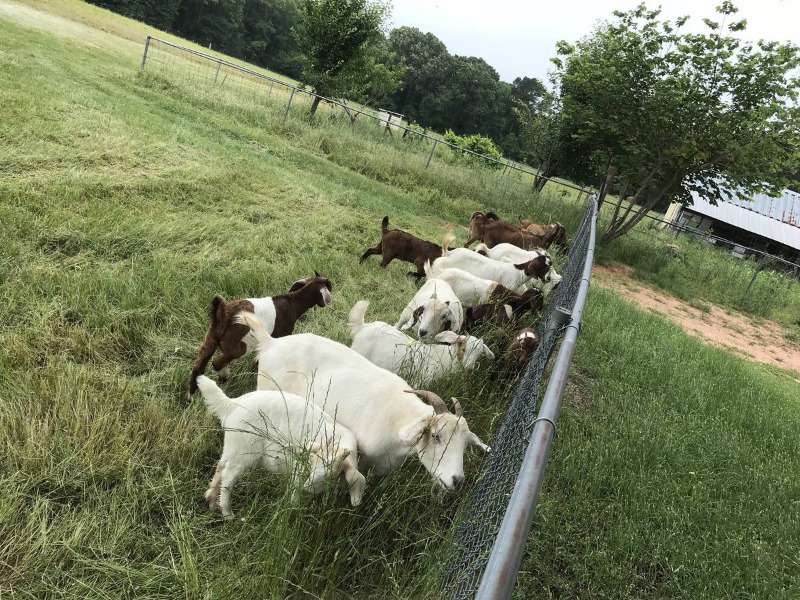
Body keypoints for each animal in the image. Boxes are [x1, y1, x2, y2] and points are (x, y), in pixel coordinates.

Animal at [187, 273, 332, 399]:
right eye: (329, 285)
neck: (292, 302)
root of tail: (224, 315)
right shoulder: (278, 337)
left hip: (210, 341)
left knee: (198, 367)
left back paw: (191, 396)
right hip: (239, 346)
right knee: (217, 363)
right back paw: (223, 376)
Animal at [197, 376, 365, 519]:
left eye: (330, 475)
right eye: (312, 465)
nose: (308, 487)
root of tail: (232, 404)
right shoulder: (299, 466)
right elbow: (295, 488)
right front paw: (293, 508)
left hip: (233, 447)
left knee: (220, 466)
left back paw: (211, 501)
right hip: (243, 451)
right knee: (227, 478)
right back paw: (228, 514)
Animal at [349, 301, 494, 386]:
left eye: (480, 354)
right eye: (464, 348)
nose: (470, 367)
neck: (448, 358)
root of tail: (364, 326)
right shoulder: (422, 381)